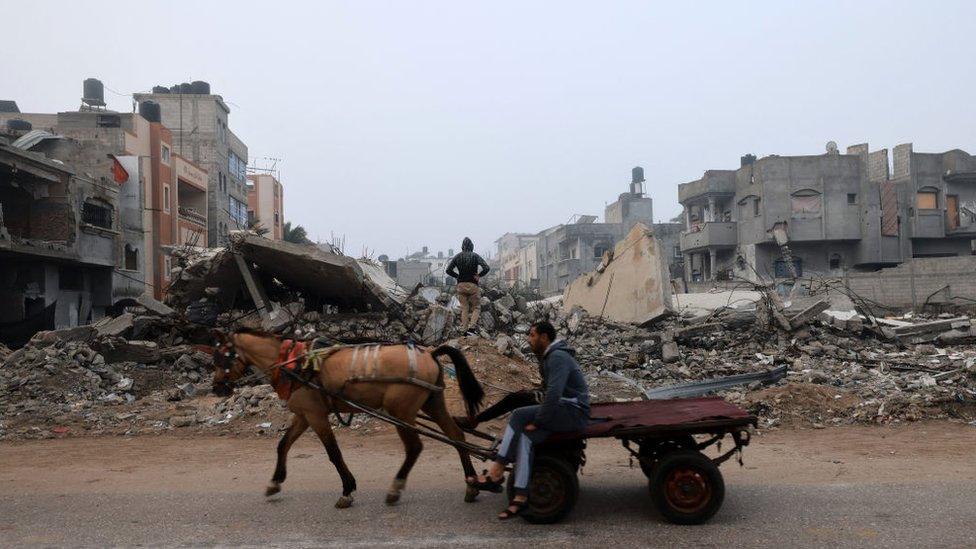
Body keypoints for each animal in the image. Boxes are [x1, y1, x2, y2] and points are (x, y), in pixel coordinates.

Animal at [211, 326, 484, 510]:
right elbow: (283, 445)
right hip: (432, 403)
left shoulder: (316, 415)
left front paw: (347, 490)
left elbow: (333, 453)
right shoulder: (304, 415)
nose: (217, 388)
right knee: (456, 436)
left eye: (222, 356)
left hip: (401, 411)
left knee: (415, 447)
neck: (293, 364)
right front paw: (275, 482)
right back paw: (471, 484)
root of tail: (430, 353)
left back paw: (396, 488)